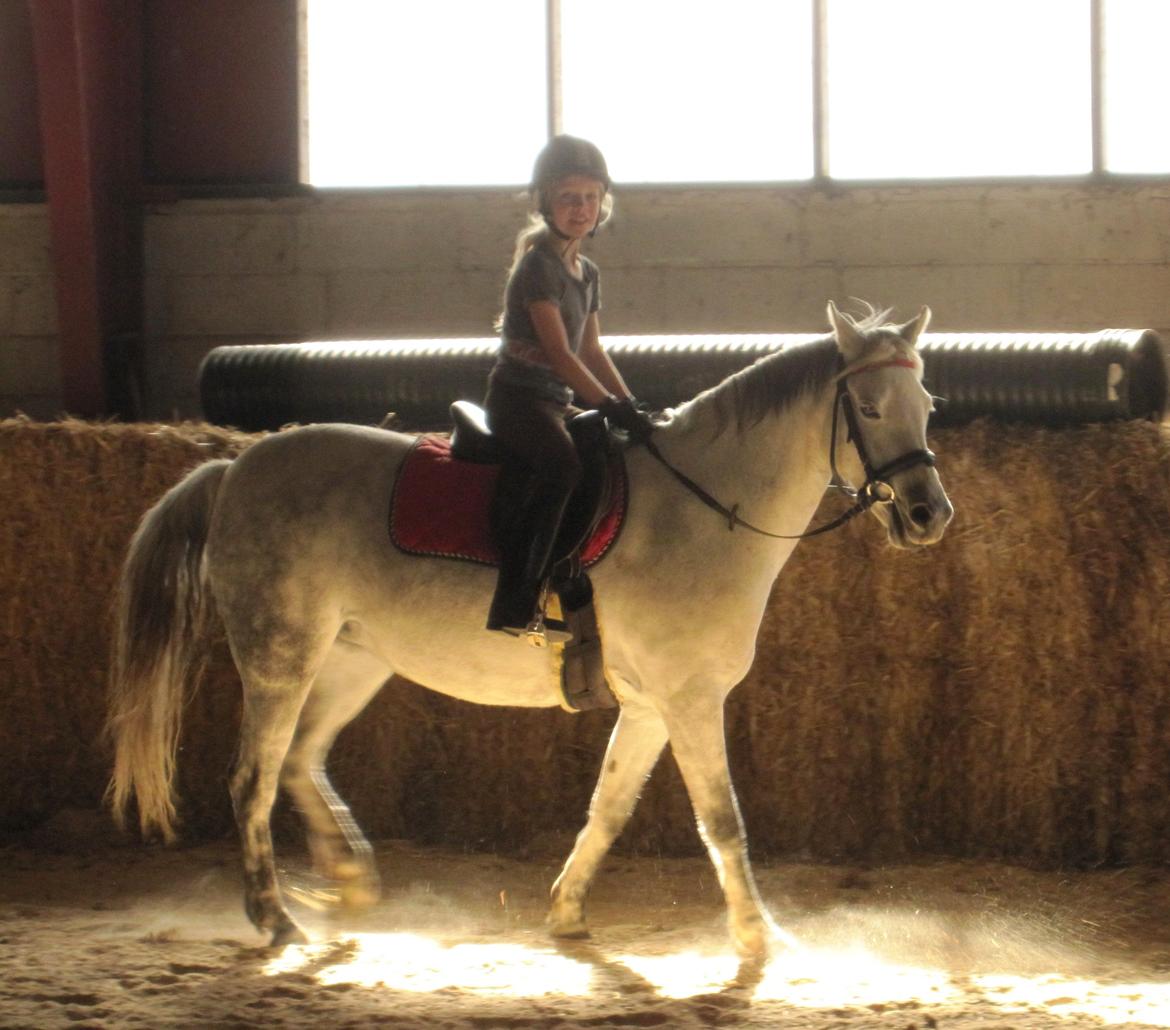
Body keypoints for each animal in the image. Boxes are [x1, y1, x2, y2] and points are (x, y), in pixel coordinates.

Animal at [106, 300, 953, 957]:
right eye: (869, 409)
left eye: (928, 406)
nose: (928, 514)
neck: (707, 506)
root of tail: (234, 470)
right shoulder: (688, 700)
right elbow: (723, 821)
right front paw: (757, 936)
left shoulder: (650, 707)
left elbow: (609, 808)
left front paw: (567, 912)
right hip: (279, 656)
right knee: (253, 777)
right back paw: (276, 920)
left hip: (350, 661)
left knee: (298, 761)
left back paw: (348, 883)